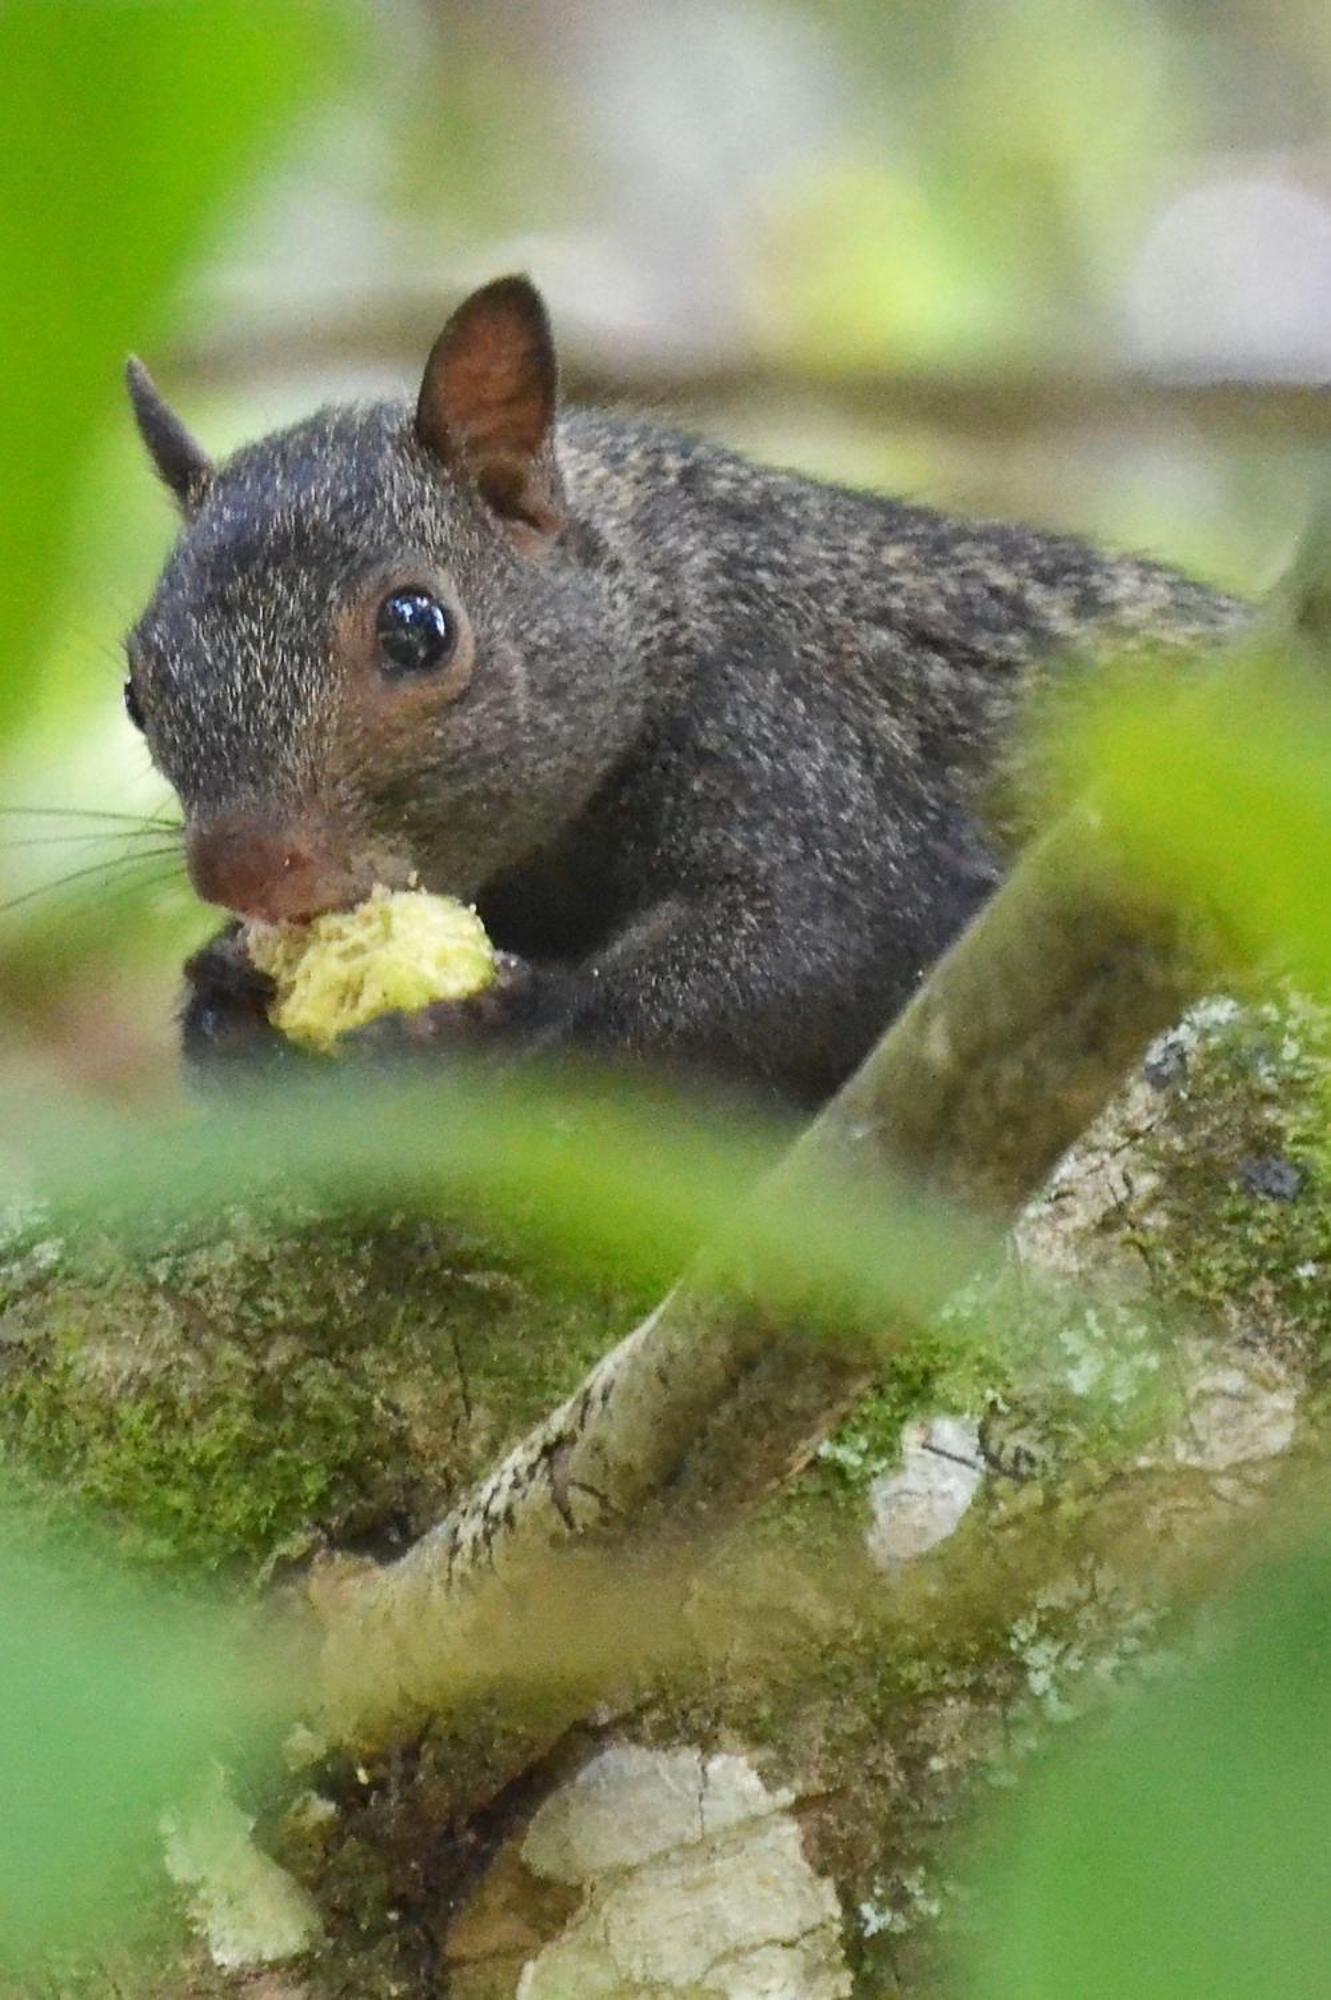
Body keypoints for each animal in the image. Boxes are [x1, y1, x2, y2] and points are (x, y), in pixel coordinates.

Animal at [124, 278, 1247, 1112]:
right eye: (137, 687)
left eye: (414, 627)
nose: (240, 870)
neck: (658, 597)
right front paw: (226, 1003)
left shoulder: (792, 733)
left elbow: (827, 936)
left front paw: (498, 1022)